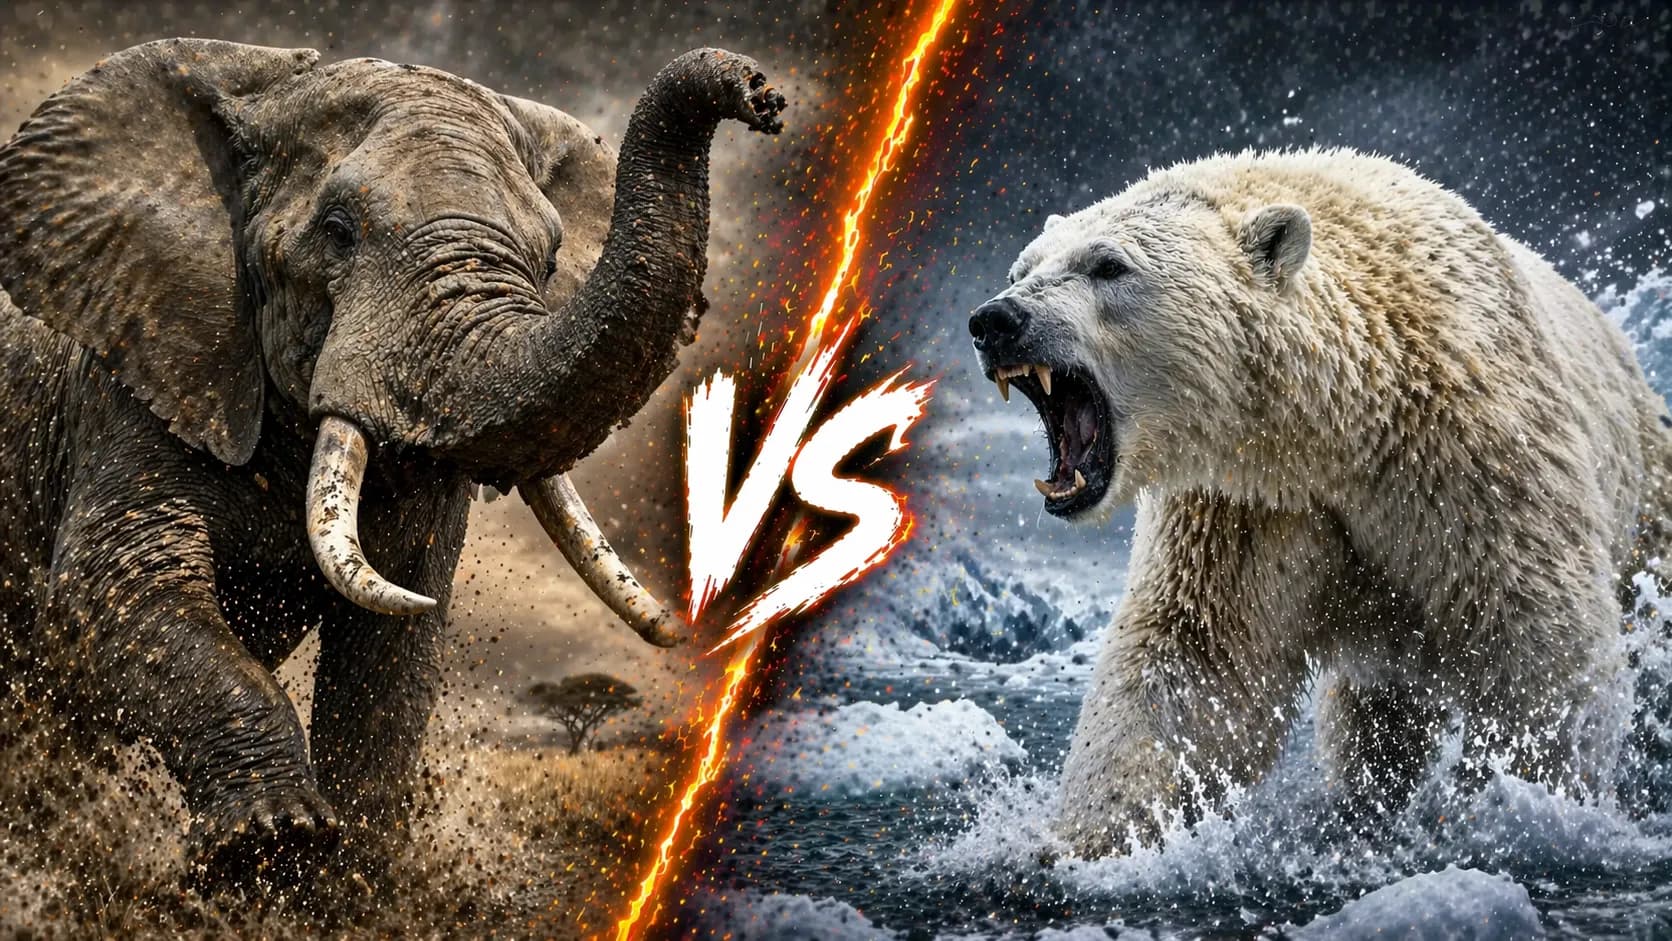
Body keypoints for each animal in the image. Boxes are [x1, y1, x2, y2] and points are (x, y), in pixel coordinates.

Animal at [0, 38, 784, 883]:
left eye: (548, 260)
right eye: (338, 230)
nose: (760, 92)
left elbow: (392, 650)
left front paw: (355, 872)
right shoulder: (138, 367)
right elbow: (114, 587)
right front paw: (270, 846)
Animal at [966, 147, 1672, 858]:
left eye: (1108, 265)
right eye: (1022, 267)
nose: (995, 320)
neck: (1345, 417)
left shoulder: (1476, 455)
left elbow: (1540, 641)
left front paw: (1518, 808)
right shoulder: (1244, 504)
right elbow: (1192, 659)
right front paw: (1083, 842)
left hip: (1646, 491)